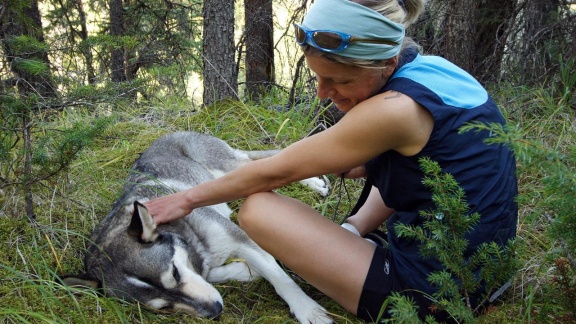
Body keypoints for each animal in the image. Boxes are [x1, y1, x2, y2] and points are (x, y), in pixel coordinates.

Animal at [62, 132, 332, 324]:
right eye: (164, 307)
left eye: (174, 273)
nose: (216, 310)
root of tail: (171, 133)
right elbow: (211, 272)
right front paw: (245, 271)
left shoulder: (240, 238)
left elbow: (280, 278)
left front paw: (308, 310)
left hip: (233, 170)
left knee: (271, 162)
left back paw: (315, 183)